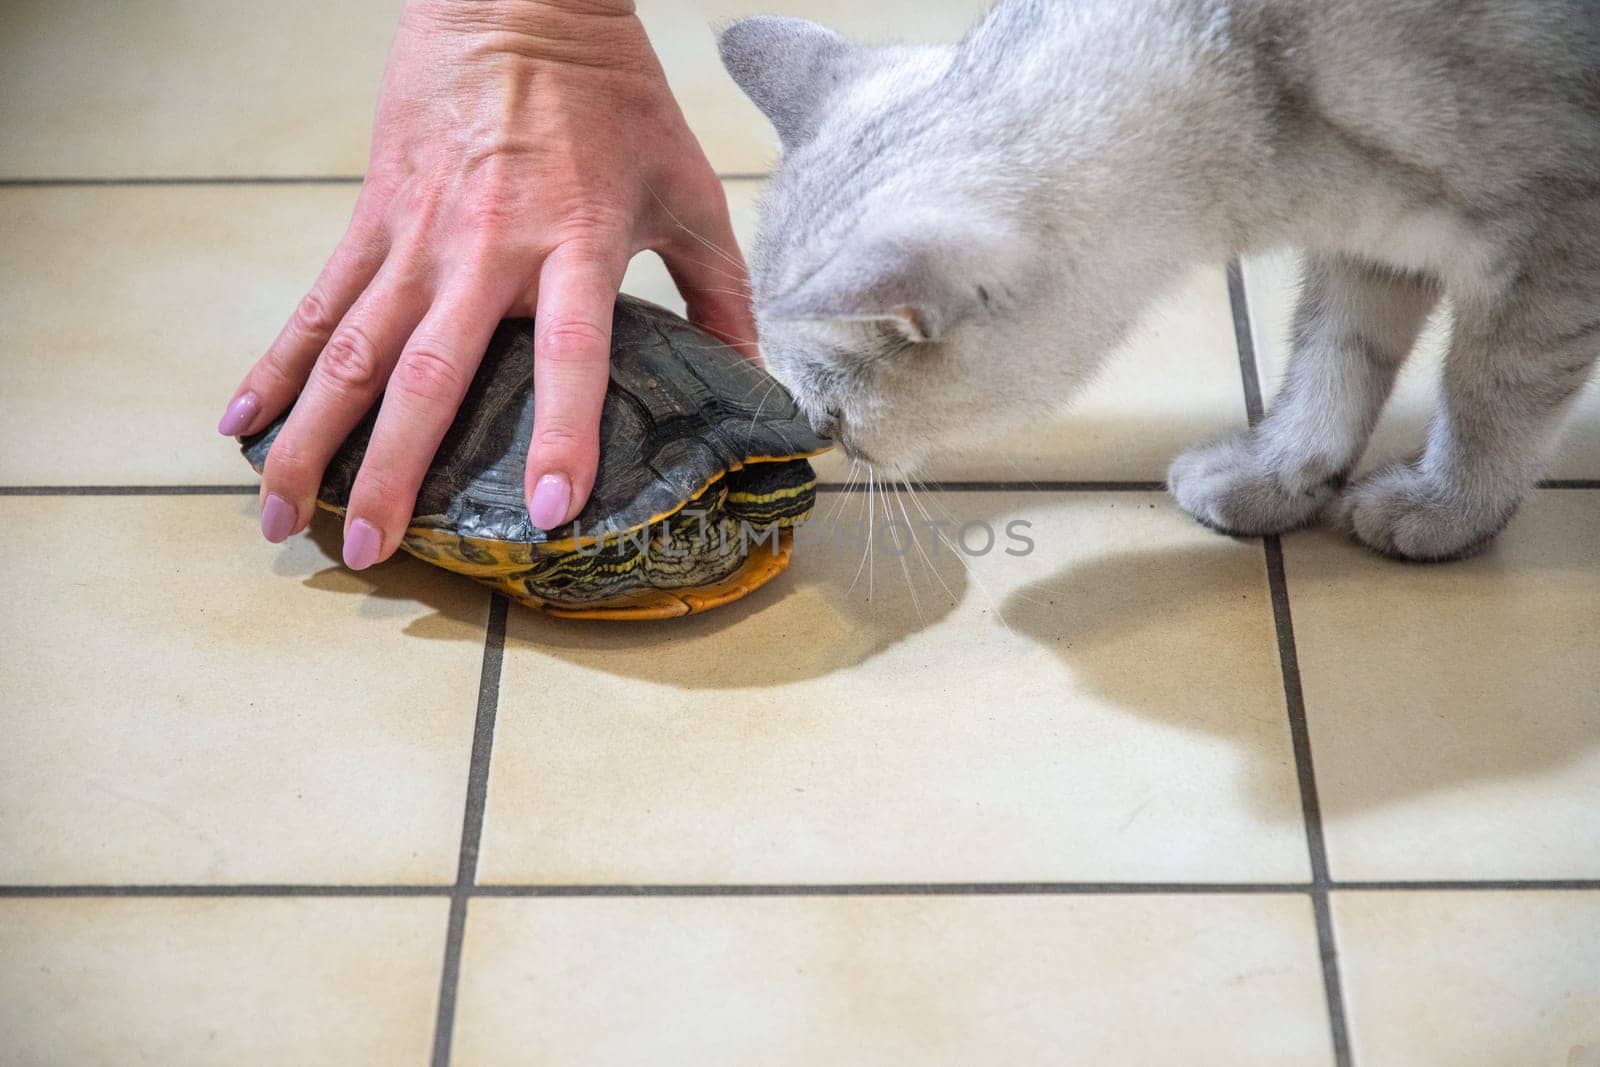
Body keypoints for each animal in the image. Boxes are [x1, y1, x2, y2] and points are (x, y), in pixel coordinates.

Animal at [716, 0, 1600, 563]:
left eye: (834, 418)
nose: (818, 441)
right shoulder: (1372, 243)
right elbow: (1334, 367)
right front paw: (1278, 477)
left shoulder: (1555, 243)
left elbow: (1488, 397)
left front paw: (1447, 510)